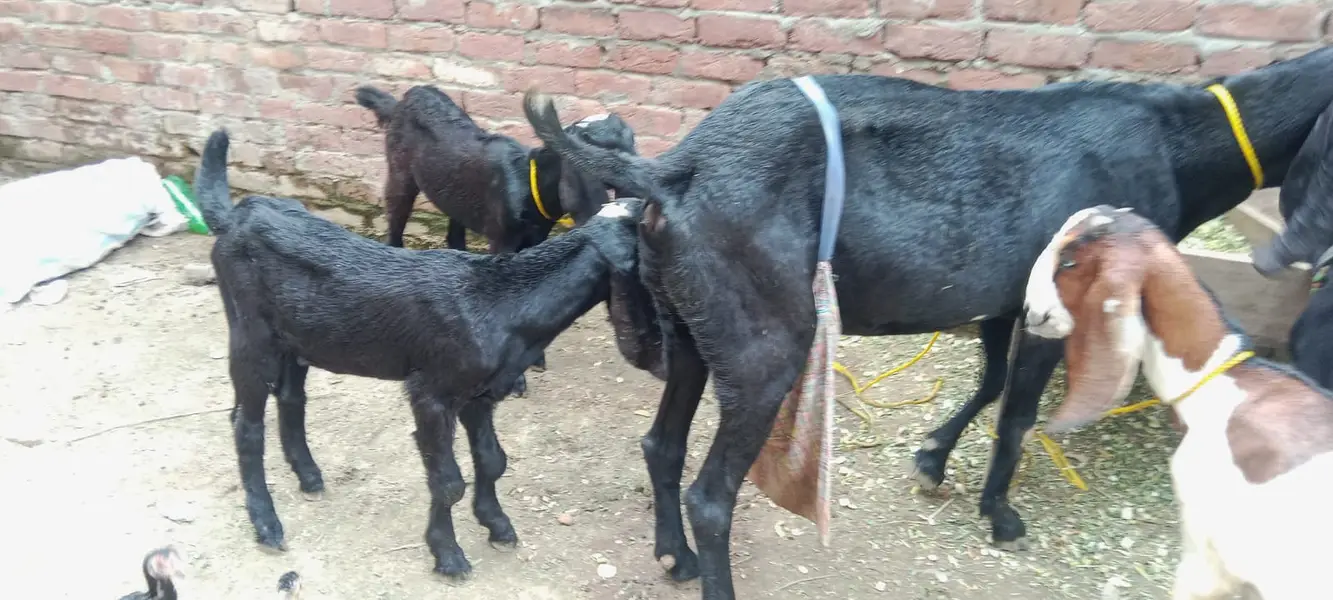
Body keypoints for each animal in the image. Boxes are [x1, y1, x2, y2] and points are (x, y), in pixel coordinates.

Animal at [192, 128, 663, 580]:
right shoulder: (432, 392)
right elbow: (447, 481)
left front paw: (497, 525)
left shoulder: (481, 393)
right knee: (245, 424)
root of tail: (235, 216)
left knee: (290, 398)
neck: (501, 302)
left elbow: (493, 461)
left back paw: (309, 476)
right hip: (250, 332)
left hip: (298, 337)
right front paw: (448, 555)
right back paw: (267, 523)